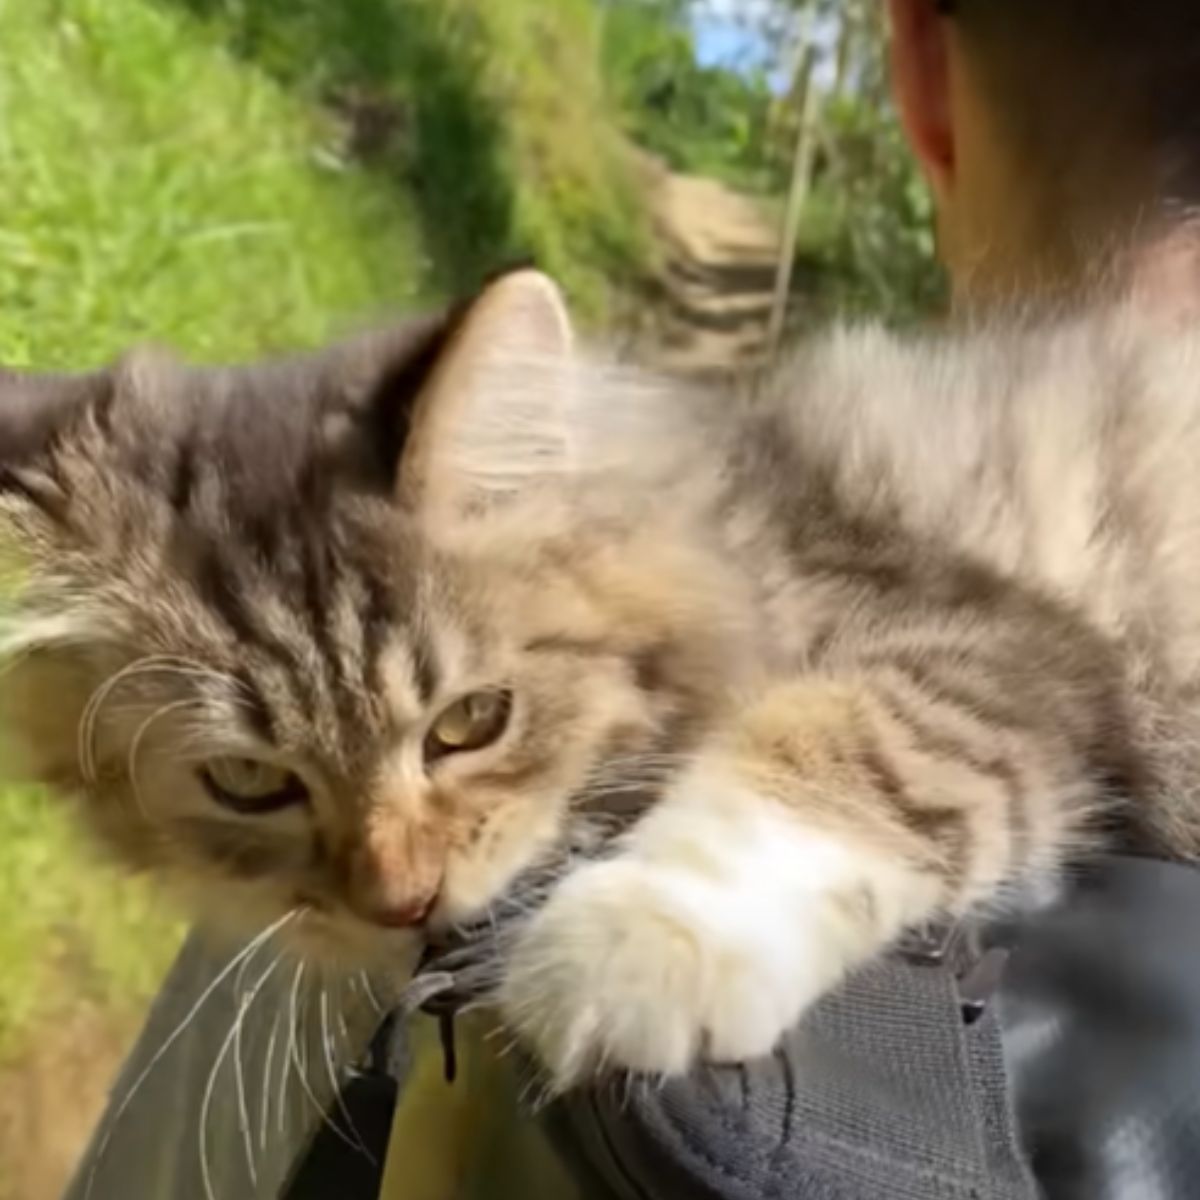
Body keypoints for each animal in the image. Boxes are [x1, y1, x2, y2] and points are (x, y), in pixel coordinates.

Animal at [2, 270, 1200, 1089]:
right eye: (250, 782)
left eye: (471, 722)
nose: (404, 903)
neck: (723, 525)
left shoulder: (996, 646)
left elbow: (828, 756)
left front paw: (627, 949)